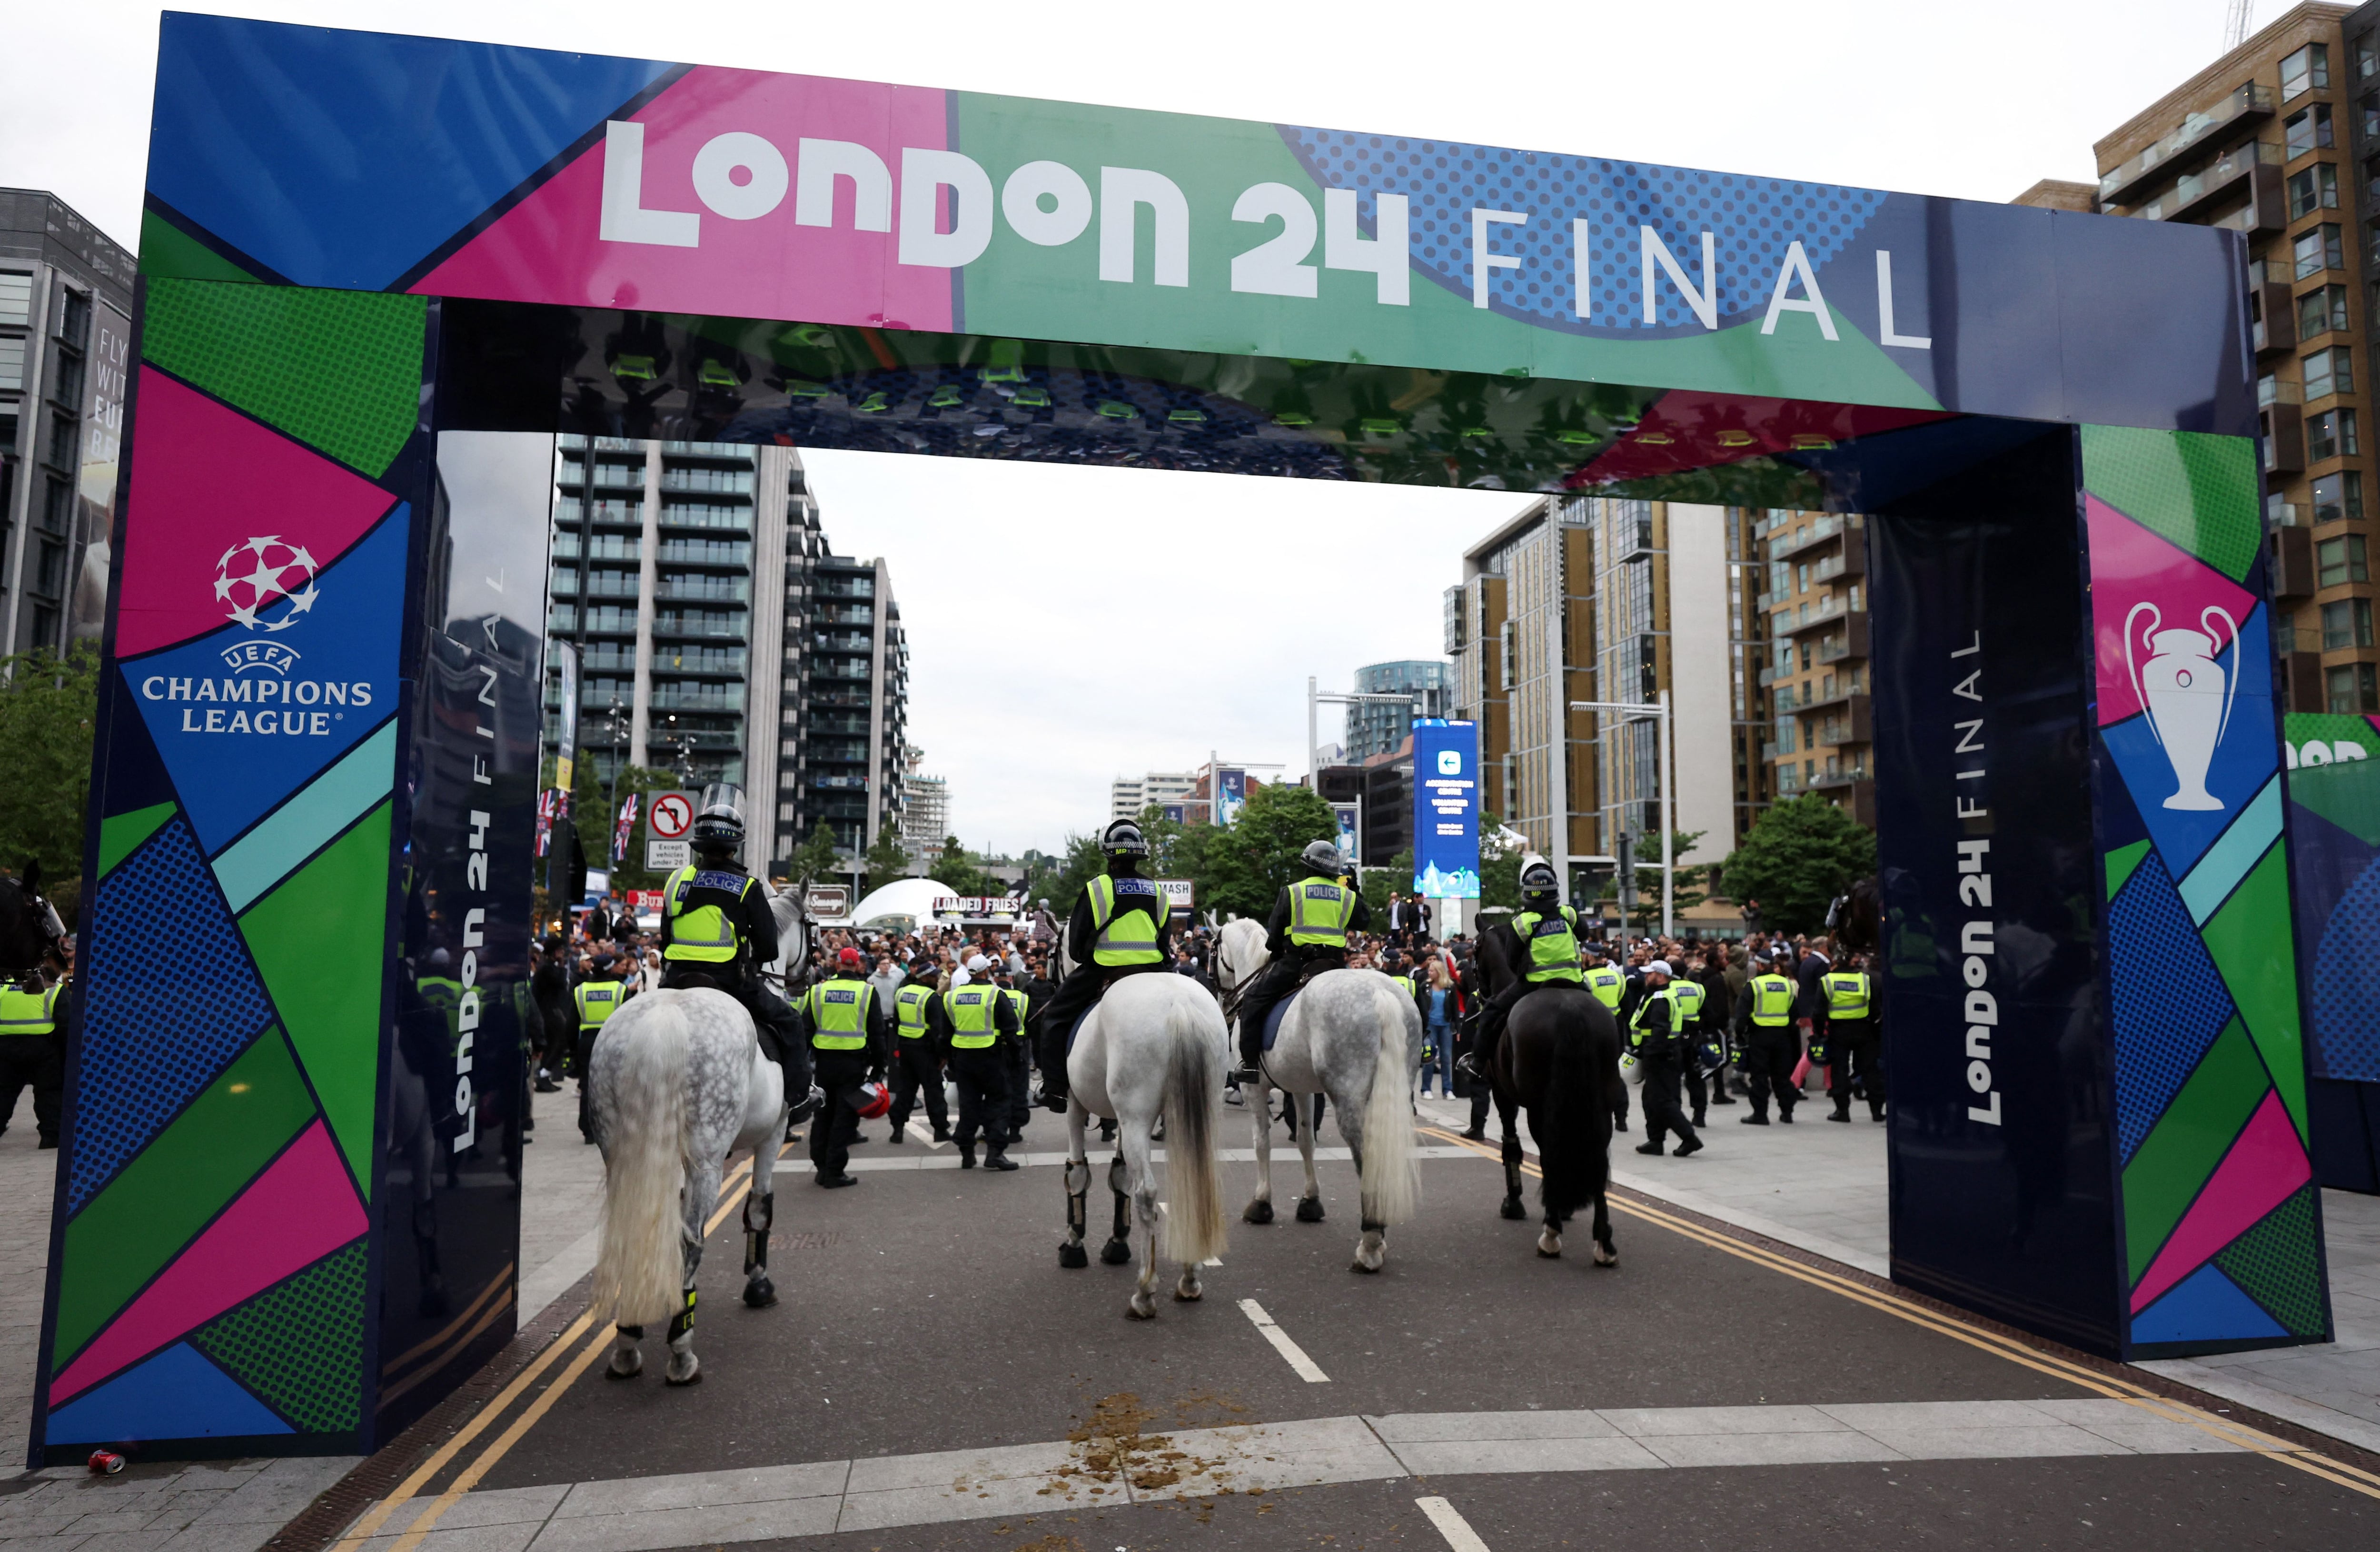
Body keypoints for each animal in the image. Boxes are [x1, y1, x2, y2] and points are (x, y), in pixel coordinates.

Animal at [1071, 938, 1238, 1314]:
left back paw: (1145, 1294)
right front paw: (1116, 1242)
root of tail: (1179, 1003)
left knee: (1146, 1193)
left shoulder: (1074, 1103)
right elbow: (1118, 1174)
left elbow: (1078, 1172)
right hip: (1196, 1111)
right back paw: (1189, 1280)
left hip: (1136, 1116)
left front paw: (1074, 1244)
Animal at [1219, 914, 1418, 1266]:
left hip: (1349, 1099)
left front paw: (1261, 1203)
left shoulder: (1254, 1086)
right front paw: (1310, 1201)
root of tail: (1380, 993)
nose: (1222, 998)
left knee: (1364, 1154)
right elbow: (1305, 1141)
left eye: (1212, 949)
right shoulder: (1301, 1089)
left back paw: (1370, 1243)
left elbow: (1261, 1143)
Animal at [1476, 928, 1628, 1266]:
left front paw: (1514, 1203)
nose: (1476, 990)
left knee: (1547, 1154)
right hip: (1601, 1101)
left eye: (1474, 950)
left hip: (1538, 1105)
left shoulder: (1502, 1094)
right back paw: (1604, 1243)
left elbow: (1511, 1147)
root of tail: (1569, 1009)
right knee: (1598, 1157)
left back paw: (1551, 1234)